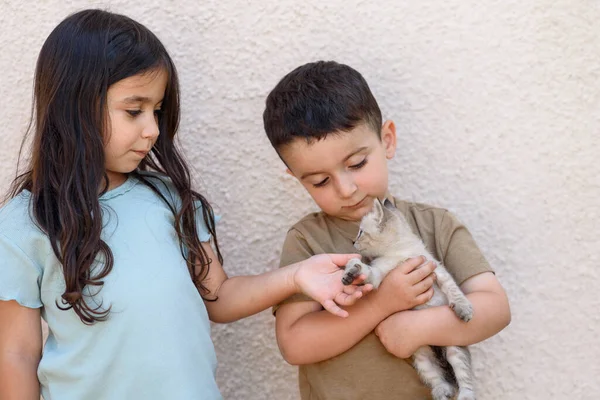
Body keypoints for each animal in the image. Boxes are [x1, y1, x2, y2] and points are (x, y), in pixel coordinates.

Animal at [342, 199, 478, 400]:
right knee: (436, 377)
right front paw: (351, 272)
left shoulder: (437, 271)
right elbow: (365, 270)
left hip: (454, 348)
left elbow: (454, 291)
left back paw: (465, 395)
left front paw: (464, 309)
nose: (353, 241)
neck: (399, 252)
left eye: (360, 232)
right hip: (422, 358)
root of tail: (438, 348)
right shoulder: (378, 274)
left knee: (464, 376)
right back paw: (442, 392)